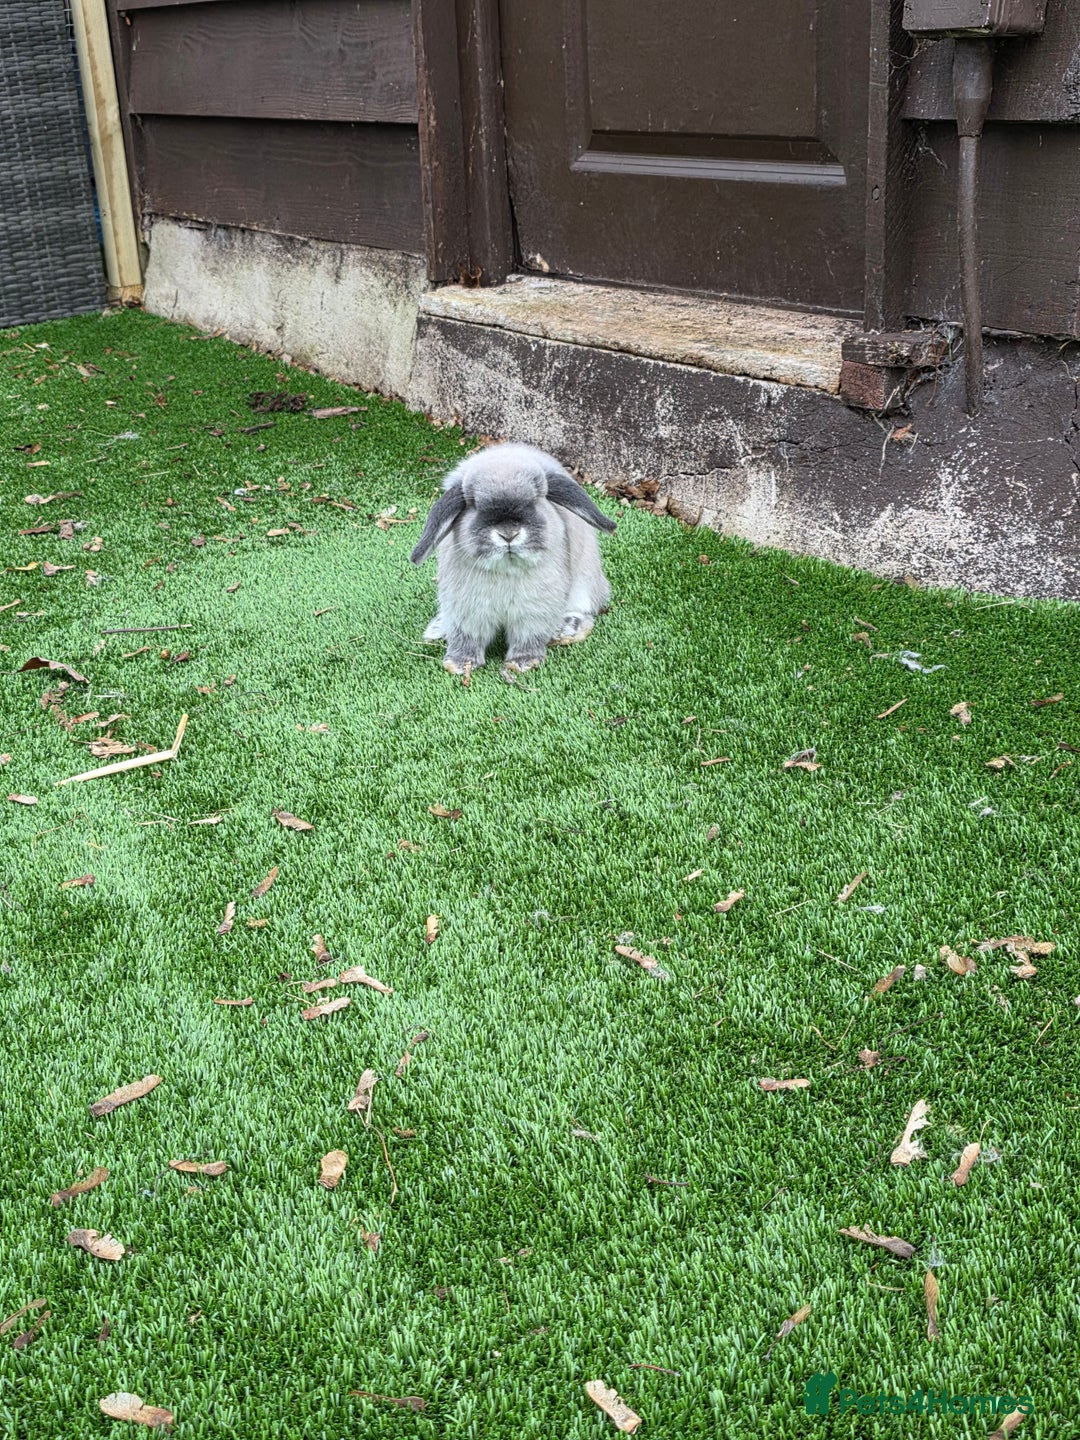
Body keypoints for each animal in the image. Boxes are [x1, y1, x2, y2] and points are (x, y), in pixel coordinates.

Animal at [410, 443, 616, 675]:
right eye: (474, 505)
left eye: (535, 500)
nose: (508, 534)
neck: (507, 568)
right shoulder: (467, 609)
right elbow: (467, 637)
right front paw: (459, 664)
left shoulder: (534, 610)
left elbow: (527, 636)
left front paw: (522, 662)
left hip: (585, 582)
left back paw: (567, 629)